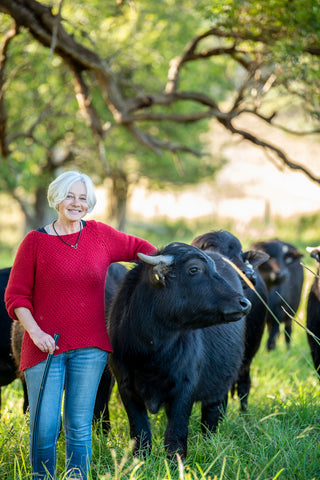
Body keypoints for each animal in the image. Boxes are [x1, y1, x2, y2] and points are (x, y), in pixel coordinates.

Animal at [106, 242, 251, 460]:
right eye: (194, 269)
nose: (244, 303)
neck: (150, 354)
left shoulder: (185, 387)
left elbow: (176, 432)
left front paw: (176, 461)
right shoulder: (125, 386)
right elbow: (140, 431)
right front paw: (139, 460)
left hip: (219, 386)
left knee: (211, 415)